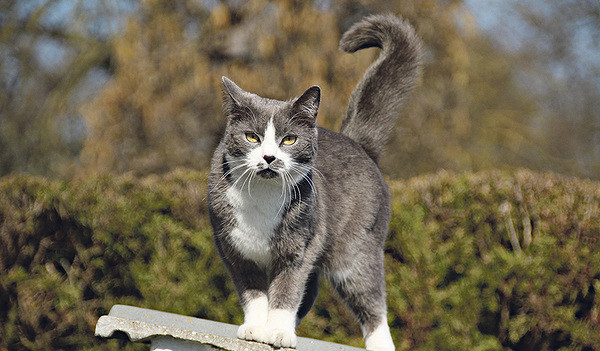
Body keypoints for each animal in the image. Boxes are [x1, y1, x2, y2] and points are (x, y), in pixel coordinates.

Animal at [207, 13, 422, 350]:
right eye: (252, 137)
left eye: (289, 139)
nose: (269, 157)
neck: (263, 196)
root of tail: (359, 143)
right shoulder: (234, 252)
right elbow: (253, 294)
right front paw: (256, 329)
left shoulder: (298, 249)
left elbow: (286, 291)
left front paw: (278, 333)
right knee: (309, 294)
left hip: (356, 254)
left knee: (372, 305)